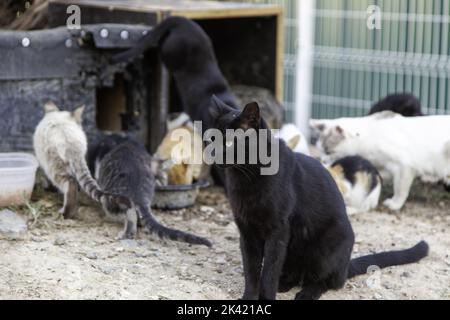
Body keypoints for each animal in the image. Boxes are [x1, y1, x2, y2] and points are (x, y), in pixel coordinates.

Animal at [211, 95, 428, 300]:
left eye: (229, 142)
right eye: (212, 139)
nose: (212, 154)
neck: (246, 177)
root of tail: (345, 266)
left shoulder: (277, 231)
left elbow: (269, 272)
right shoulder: (247, 231)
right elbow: (252, 271)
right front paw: (249, 297)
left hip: (325, 248)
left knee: (328, 281)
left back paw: (307, 293)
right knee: (297, 275)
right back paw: (285, 285)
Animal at [310, 111, 450, 211]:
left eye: (328, 152)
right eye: (320, 151)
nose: (322, 160)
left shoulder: (404, 167)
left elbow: (400, 189)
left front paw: (395, 204)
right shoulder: (383, 168)